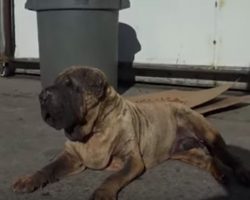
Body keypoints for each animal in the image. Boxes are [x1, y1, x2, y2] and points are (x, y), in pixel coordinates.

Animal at [12, 66, 250, 200]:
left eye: (70, 86)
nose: (43, 95)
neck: (94, 130)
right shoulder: (71, 157)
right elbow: (49, 168)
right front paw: (29, 179)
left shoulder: (132, 159)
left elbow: (114, 176)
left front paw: (103, 193)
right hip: (186, 153)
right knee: (208, 159)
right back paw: (219, 174)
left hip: (209, 134)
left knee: (230, 157)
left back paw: (241, 173)